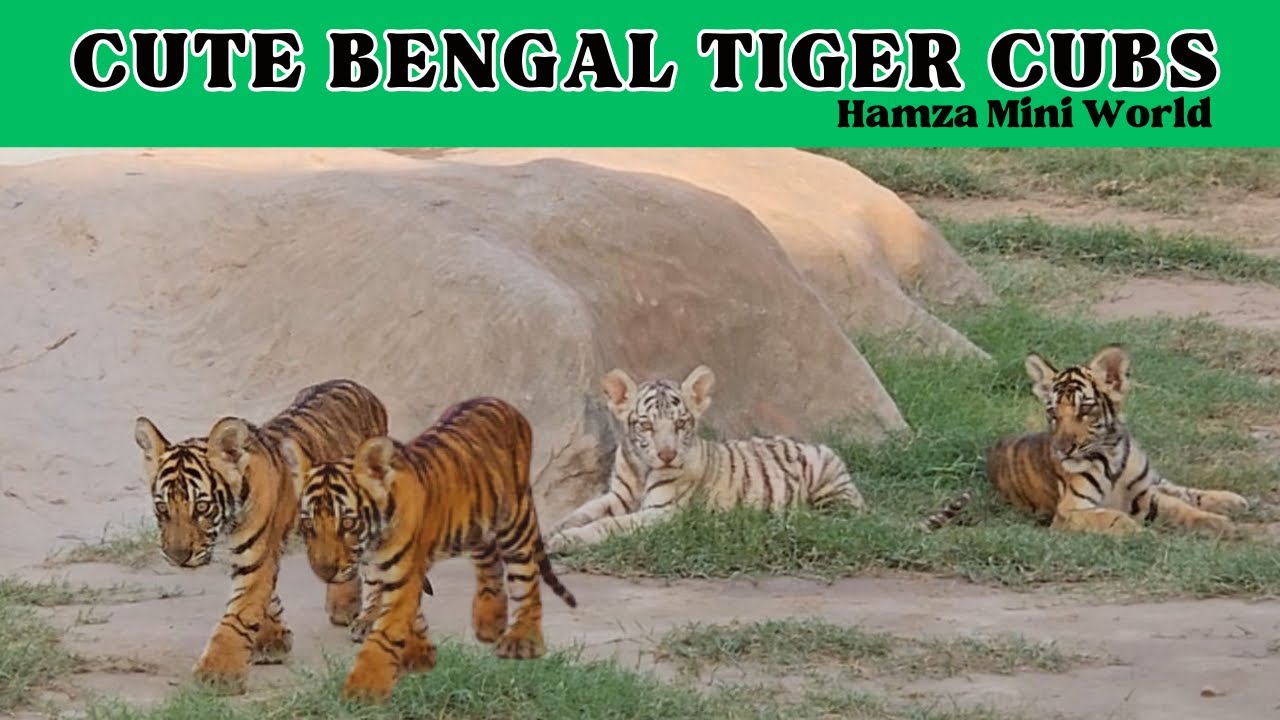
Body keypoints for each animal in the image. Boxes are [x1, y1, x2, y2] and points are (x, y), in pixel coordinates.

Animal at [132, 378, 389, 694]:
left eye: (202, 507)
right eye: (162, 507)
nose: (178, 556)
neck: (229, 521)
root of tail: (359, 386)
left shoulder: (255, 553)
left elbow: (238, 613)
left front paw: (218, 674)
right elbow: (266, 598)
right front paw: (273, 640)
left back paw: (369, 620)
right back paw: (343, 605)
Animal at [302, 396, 578, 703]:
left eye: (348, 523)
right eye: (308, 524)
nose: (325, 572)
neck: (373, 542)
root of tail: (501, 403)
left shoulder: (403, 572)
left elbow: (386, 631)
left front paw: (363, 689)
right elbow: (407, 616)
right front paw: (419, 655)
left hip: (514, 520)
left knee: (525, 575)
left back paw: (522, 640)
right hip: (475, 524)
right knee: (489, 559)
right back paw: (489, 622)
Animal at [545, 365, 867, 553]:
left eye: (680, 424)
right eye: (646, 425)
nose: (667, 455)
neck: (641, 467)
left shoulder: (663, 513)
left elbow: (610, 525)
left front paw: (566, 540)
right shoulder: (618, 497)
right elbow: (581, 512)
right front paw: (552, 531)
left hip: (826, 477)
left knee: (837, 517)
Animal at [985, 345, 1250, 536]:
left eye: (1085, 410)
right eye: (1053, 413)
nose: (1063, 449)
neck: (1110, 455)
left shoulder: (1143, 493)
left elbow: (1180, 507)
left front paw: (1220, 524)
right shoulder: (1070, 510)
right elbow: (1112, 516)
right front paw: (1139, 532)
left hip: (1152, 479)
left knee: (1178, 489)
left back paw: (1232, 500)